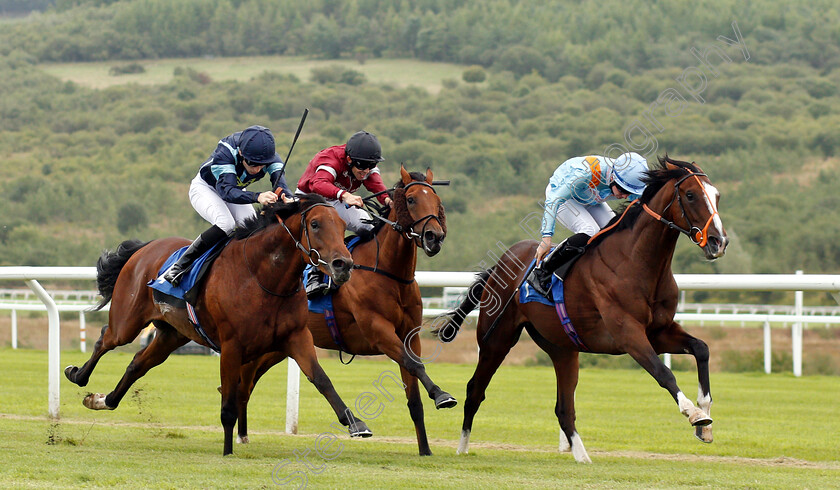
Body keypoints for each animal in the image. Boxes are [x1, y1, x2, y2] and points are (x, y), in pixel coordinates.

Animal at [62, 195, 370, 456]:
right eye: (315, 224)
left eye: (343, 225)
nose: (343, 264)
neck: (263, 278)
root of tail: (145, 247)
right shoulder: (232, 346)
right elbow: (229, 403)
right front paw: (227, 451)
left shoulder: (296, 337)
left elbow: (321, 379)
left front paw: (355, 423)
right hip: (127, 321)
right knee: (105, 339)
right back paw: (78, 375)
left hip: (171, 335)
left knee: (137, 364)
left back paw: (102, 400)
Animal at [230, 167, 452, 456]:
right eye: (412, 199)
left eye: (436, 200)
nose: (434, 237)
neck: (389, 273)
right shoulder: (378, 331)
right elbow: (413, 364)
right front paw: (442, 395)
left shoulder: (409, 335)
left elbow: (414, 392)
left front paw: (425, 449)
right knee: (244, 382)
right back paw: (240, 434)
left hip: (276, 348)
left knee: (248, 383)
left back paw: (242, 433)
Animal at [440, 157, 728, 464]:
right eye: (691, 195)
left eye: (717, 195)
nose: (719, 242)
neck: (635, 262)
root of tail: (503, 261)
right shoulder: (628, 334)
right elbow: (664, 373)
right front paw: (694, 414)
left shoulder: (659, 331)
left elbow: (701, 349)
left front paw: (705, 420)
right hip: (496, 339)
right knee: (475, 390)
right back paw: (462, 448)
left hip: (563, 349)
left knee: (564, 407)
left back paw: (582, 457)